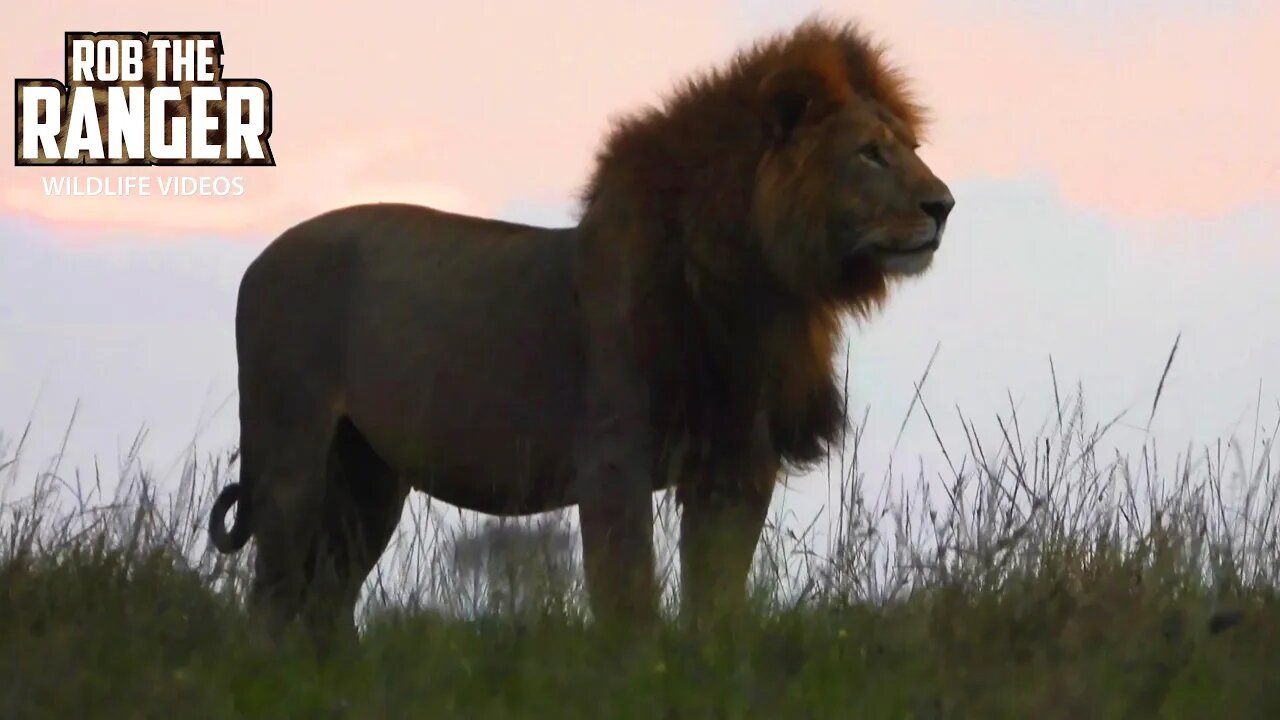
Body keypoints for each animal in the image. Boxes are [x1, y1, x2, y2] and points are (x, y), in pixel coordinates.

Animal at [207, 18, 952, 645]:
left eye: (914, 149)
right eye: (870, 154)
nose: (943, 204)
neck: (763, 286)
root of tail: (258, 259)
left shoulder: (736, 459)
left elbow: (716, 588)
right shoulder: (613, 456)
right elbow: (628, 592)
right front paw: (637, 670)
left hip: (369, 473)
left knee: (327, 597)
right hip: (291, 451)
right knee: (271, 595)